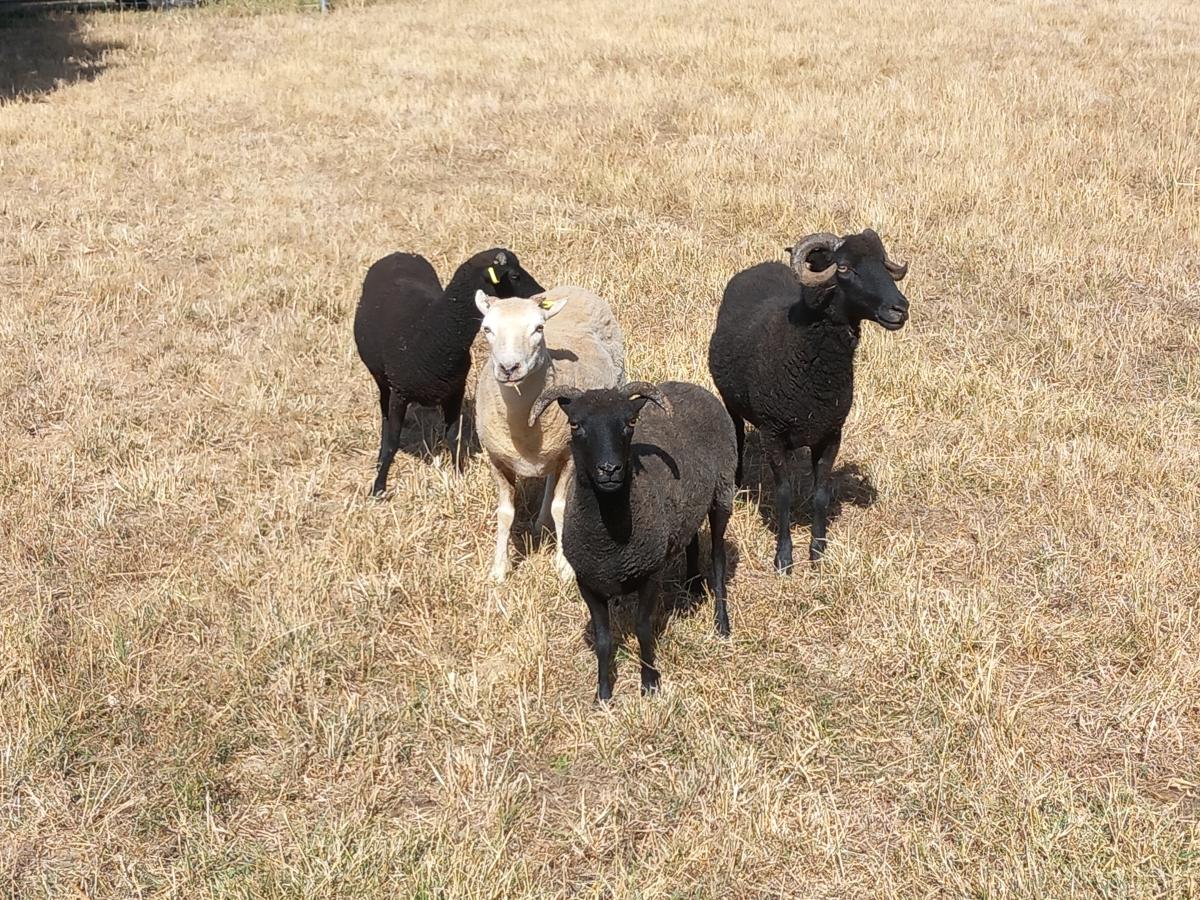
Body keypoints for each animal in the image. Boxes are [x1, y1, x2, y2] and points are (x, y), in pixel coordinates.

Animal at [353, 248, 545, 496]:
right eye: (514, 275)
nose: (542, 294)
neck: (434, 332)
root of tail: (398, 253)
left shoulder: (455, 390)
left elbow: (454, 437)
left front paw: (458, 477)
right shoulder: (399, 393)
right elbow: (393, 441)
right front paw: (378, 487)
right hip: (384, 382)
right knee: (385, 418)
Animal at [474, 286, 625, 583]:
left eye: (538, 328)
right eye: (487, 328)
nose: (509, 368)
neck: (524, 424)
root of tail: (574, 287)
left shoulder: (569, 454)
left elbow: (560, 506)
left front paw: (565, 567)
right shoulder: (496, 458)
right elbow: (505, 513)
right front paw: (499, 570)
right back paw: (541, 521)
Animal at [530, 381, 737, 700]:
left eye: (630, 422)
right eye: (575, 424)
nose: (609, 469)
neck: (608, 541)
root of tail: (691, 385)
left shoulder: (649, 574)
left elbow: (642, 629)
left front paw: (649, 683)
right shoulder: (587, 584)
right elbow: (603, 639)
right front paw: (603, 694)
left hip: (723, 489)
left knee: (717, 557)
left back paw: (721, 623)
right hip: (689, 503)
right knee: (690, 537)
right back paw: (693, 586)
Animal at [707, 228, 910, 572]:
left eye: (884, 263)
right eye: (844, 268)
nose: (900, 309)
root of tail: (761, 265)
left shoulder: (831, 434)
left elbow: (820, 493)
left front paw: (817, 551)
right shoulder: (773, 434)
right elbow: (784, 494)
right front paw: (784, 557)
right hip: (731, 399)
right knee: (737, 431)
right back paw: (736, 481)